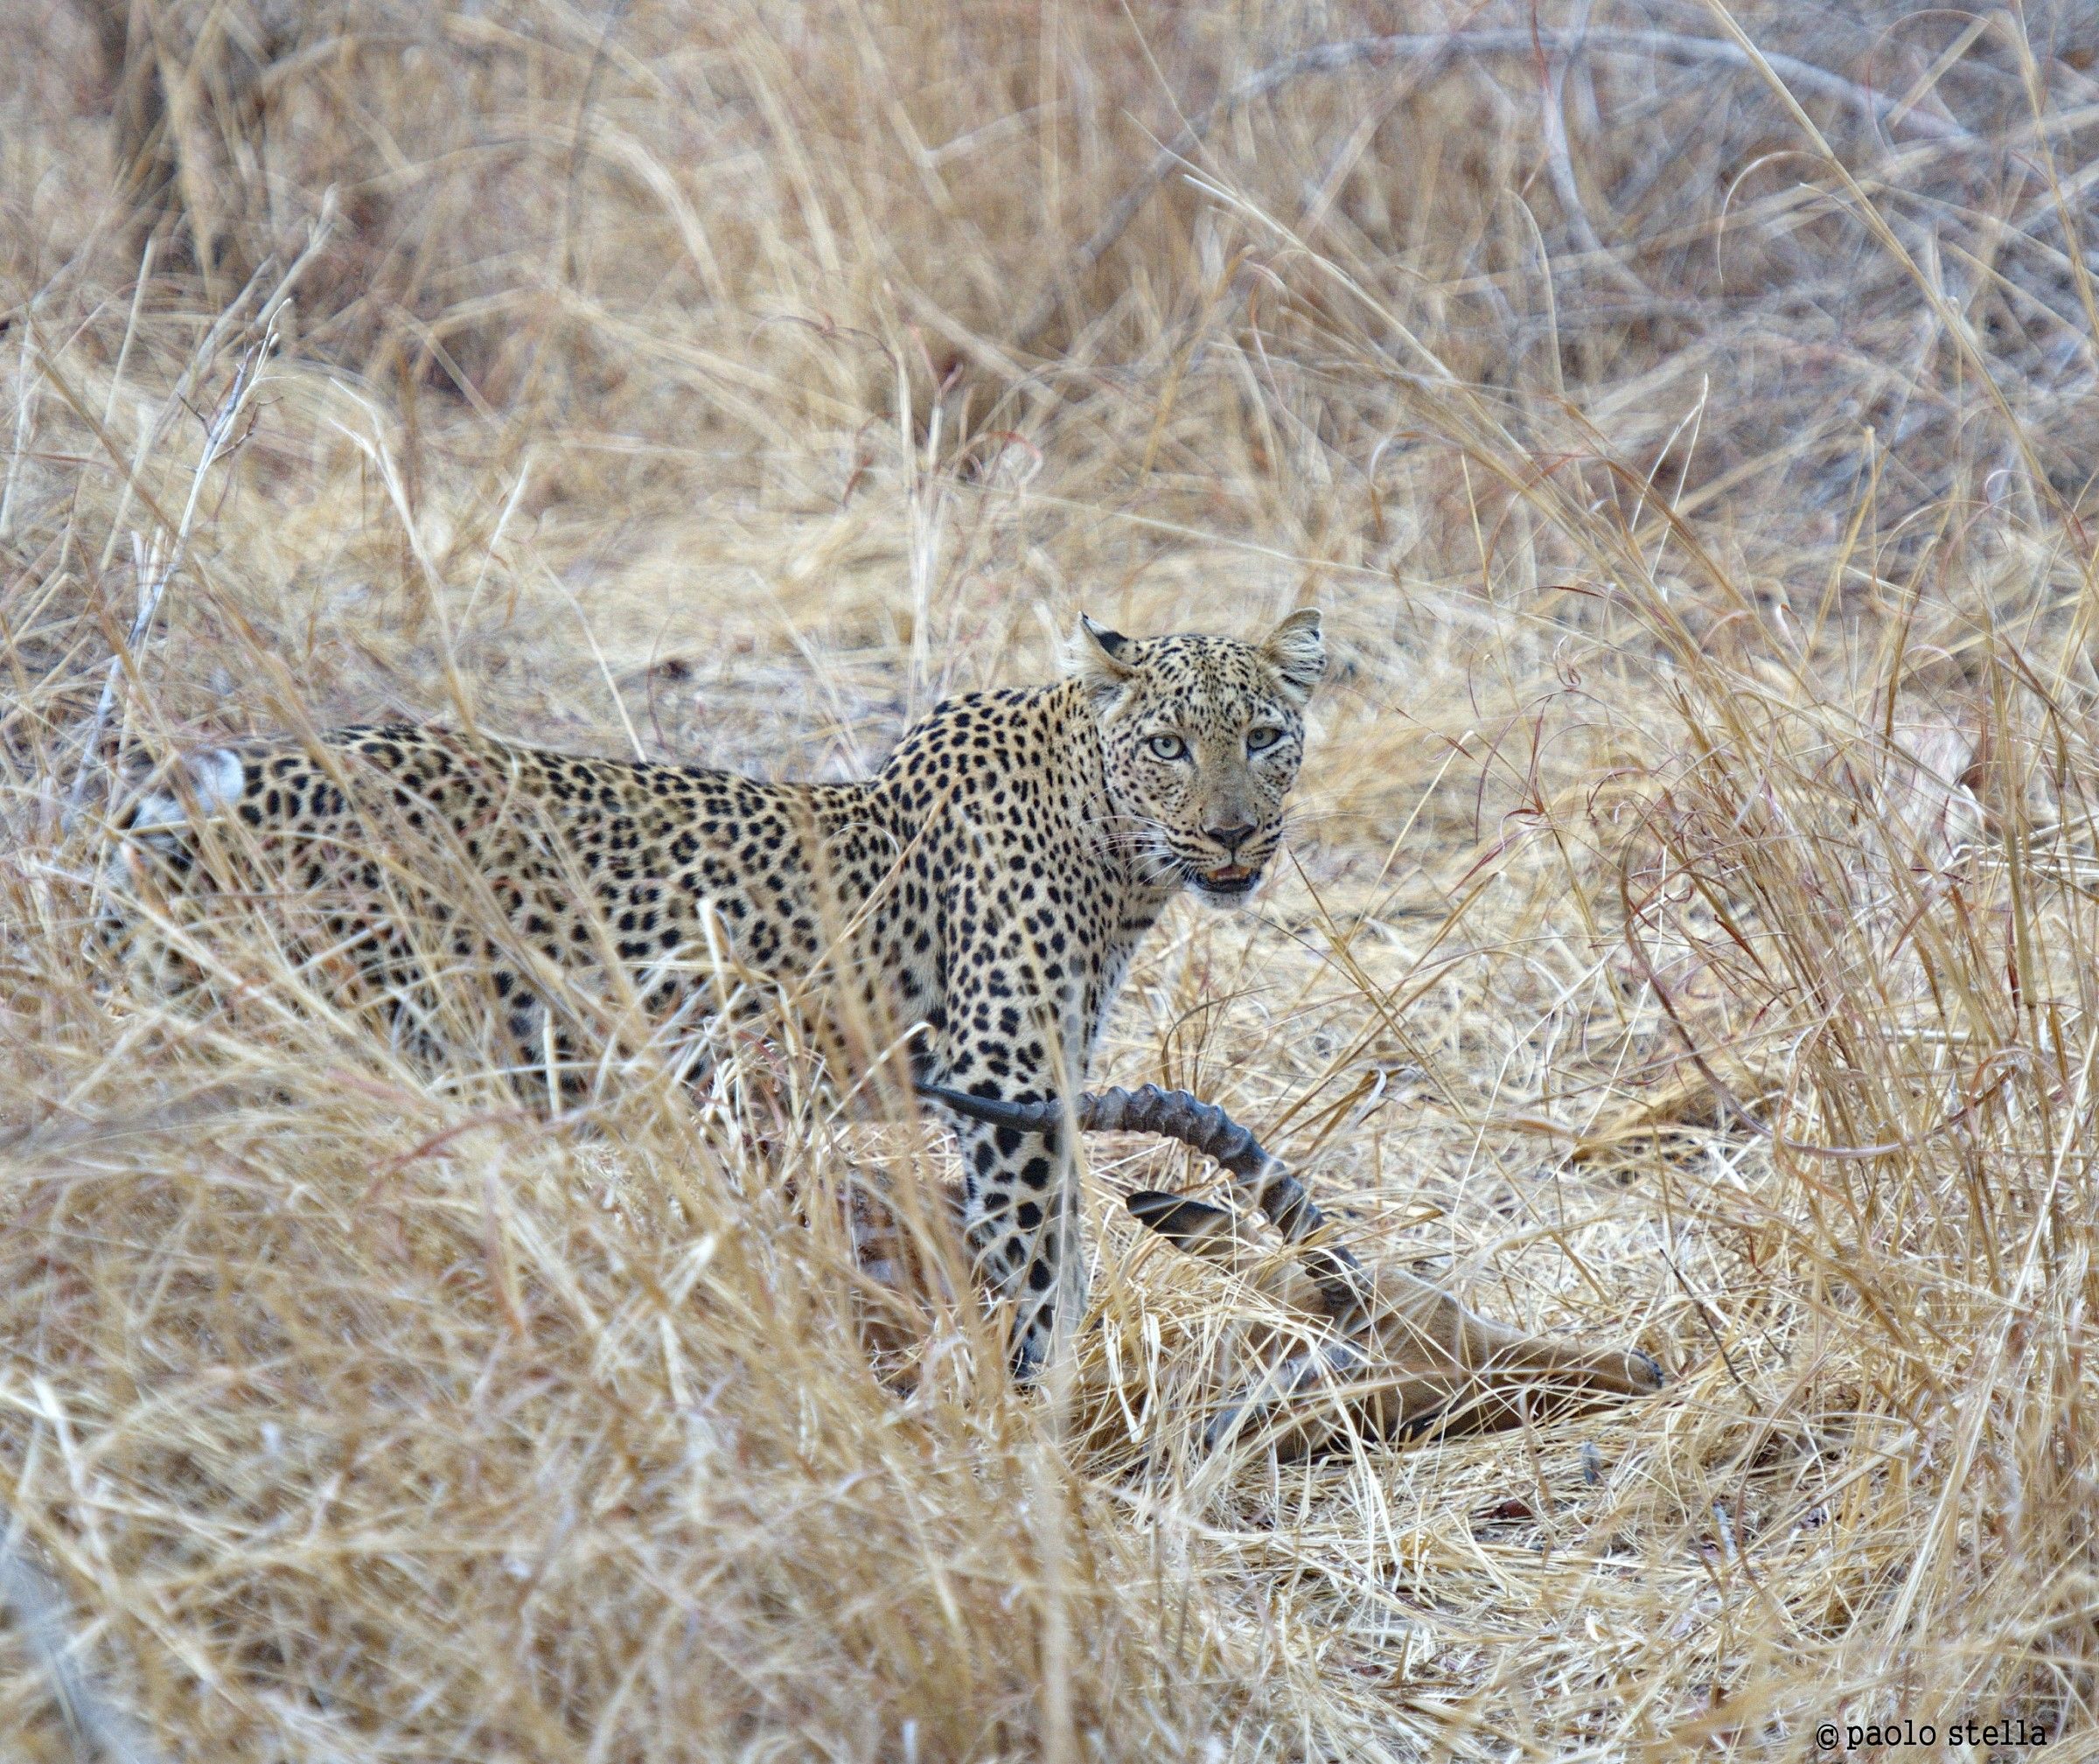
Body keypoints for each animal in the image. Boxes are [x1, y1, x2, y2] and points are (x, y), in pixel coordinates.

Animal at [111, 609, 1328, 1378]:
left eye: (1266, 736)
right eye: (1168, 745)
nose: (1236, 834)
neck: (1118, 851)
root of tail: (164, 798)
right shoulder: (1008, 1078)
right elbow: (1041, 1260)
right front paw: (1046, 1407)